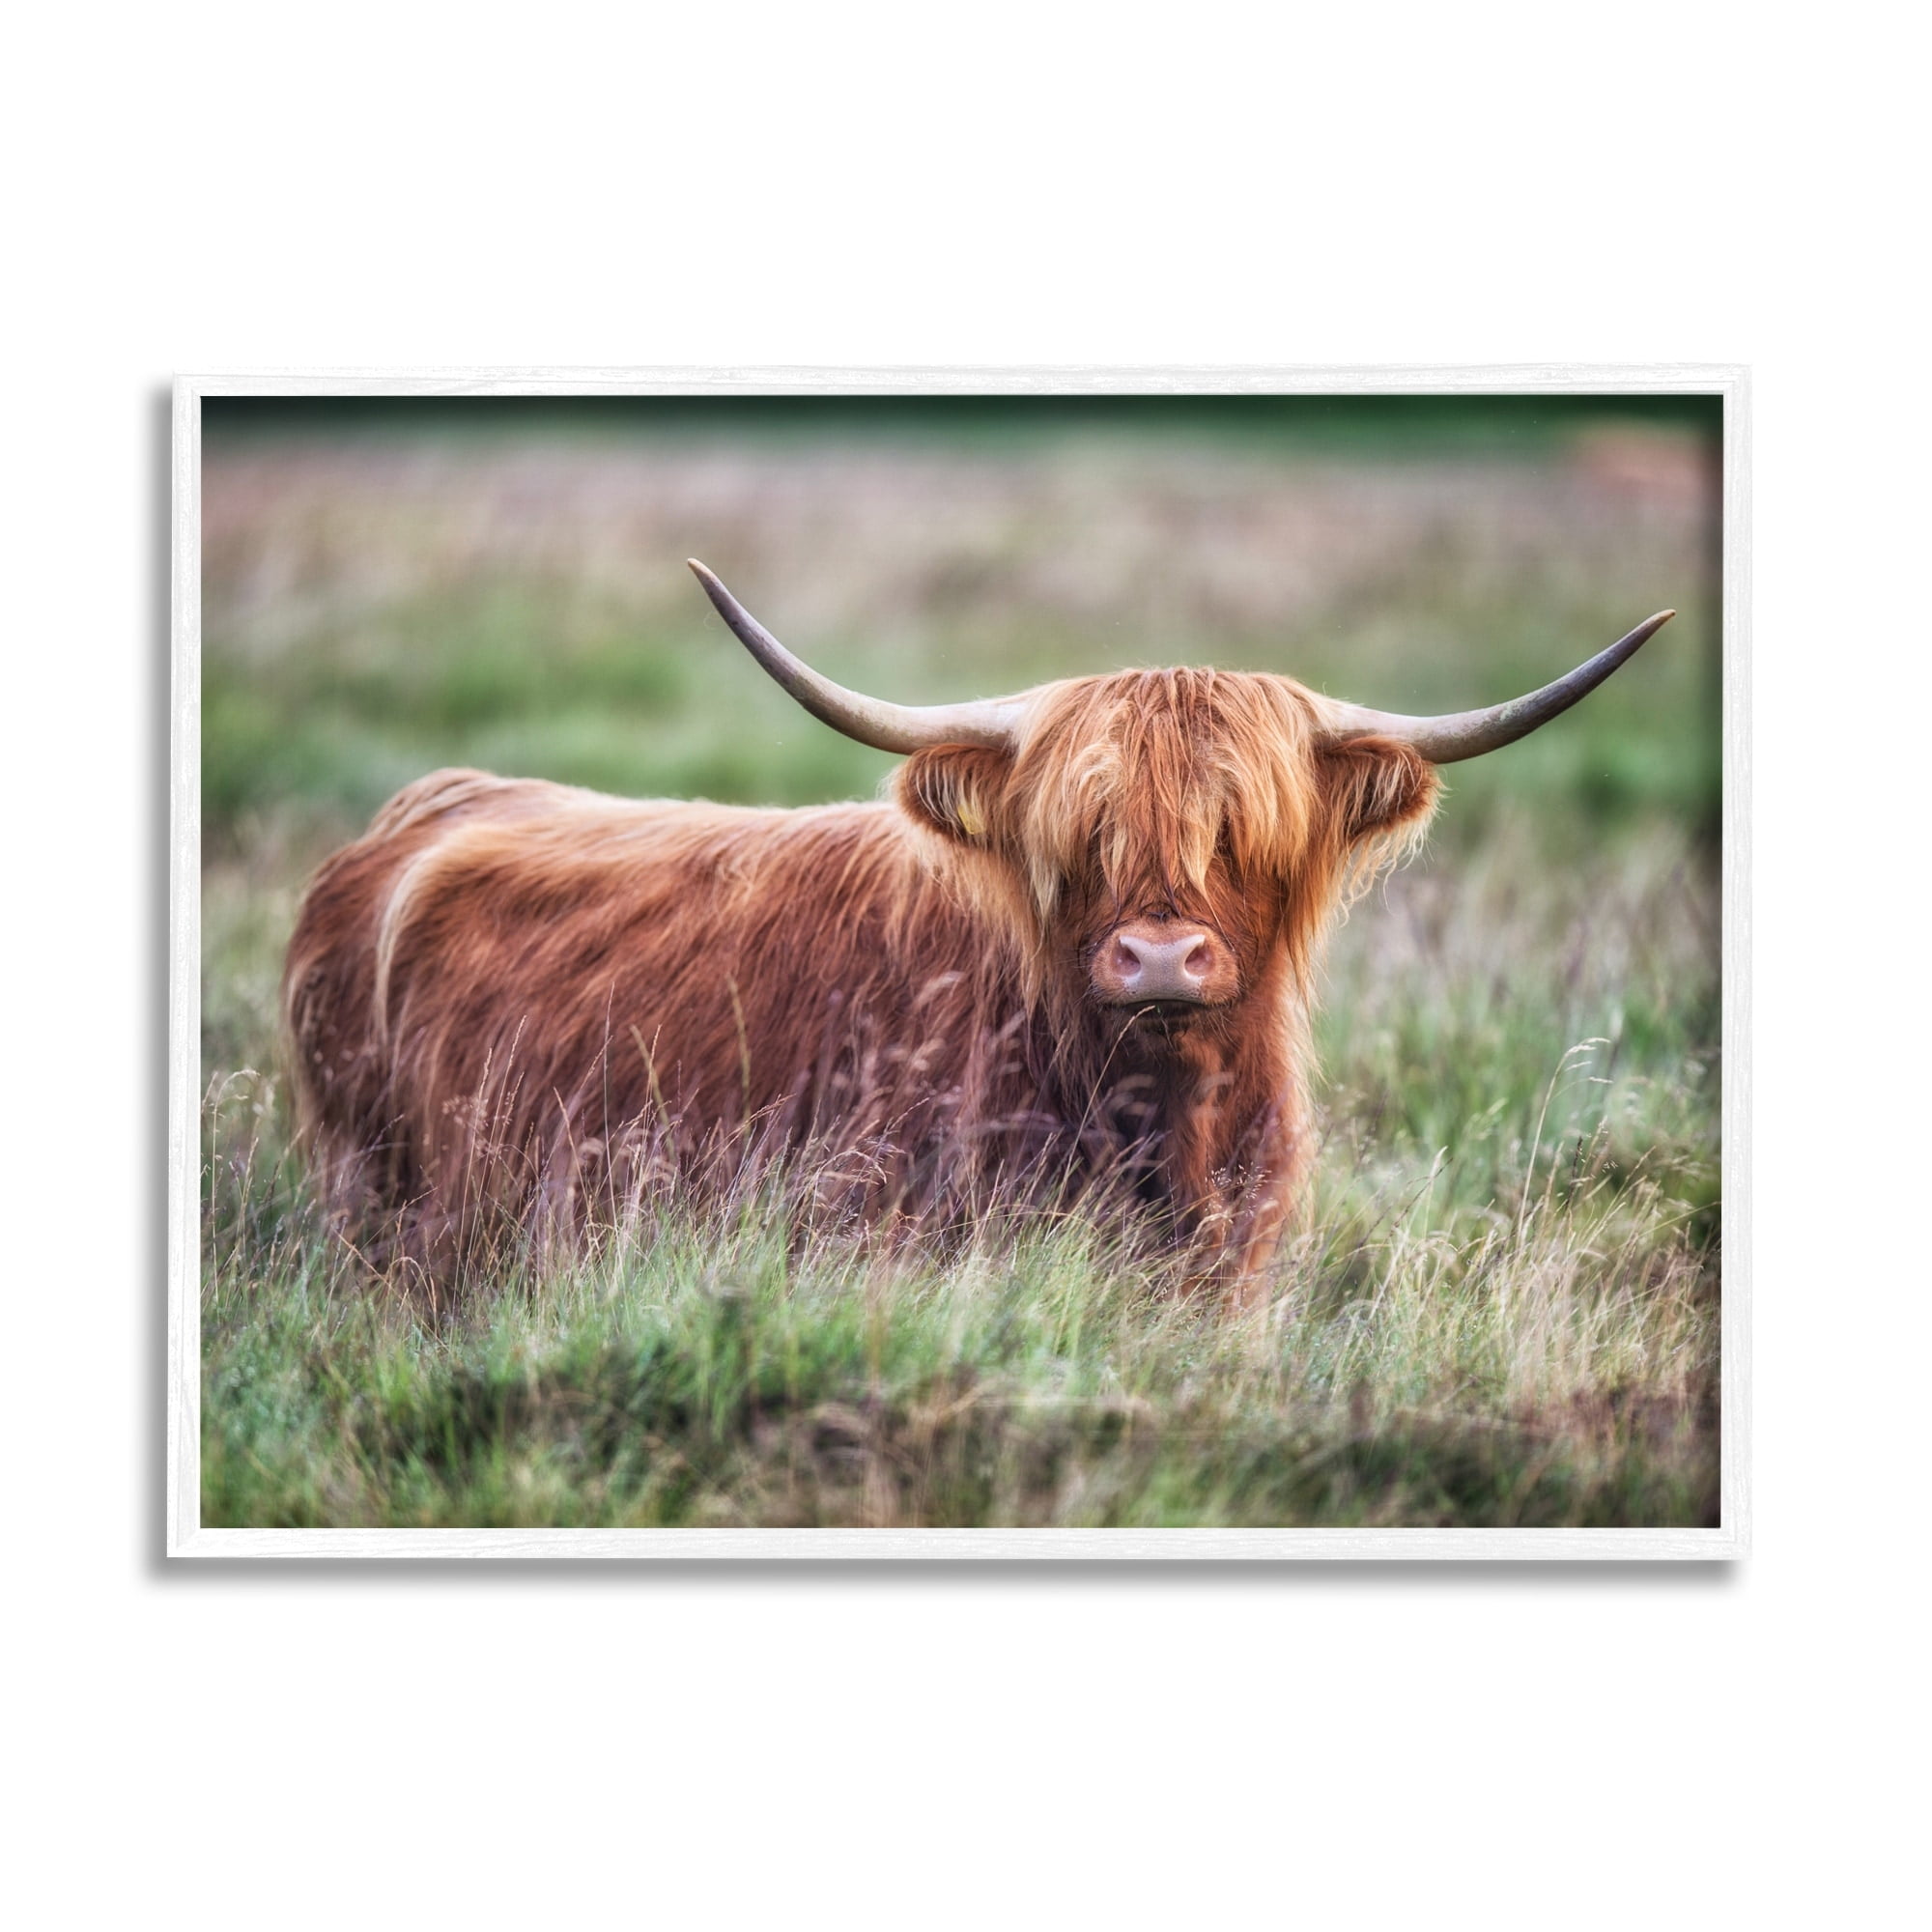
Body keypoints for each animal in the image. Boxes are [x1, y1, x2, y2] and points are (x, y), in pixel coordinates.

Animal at [282, 560, 1672, 1298]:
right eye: (1083, 833)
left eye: (1239, 830)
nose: (1158, 958)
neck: (1154, 1121)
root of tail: (431, 806)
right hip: (375, 1200)